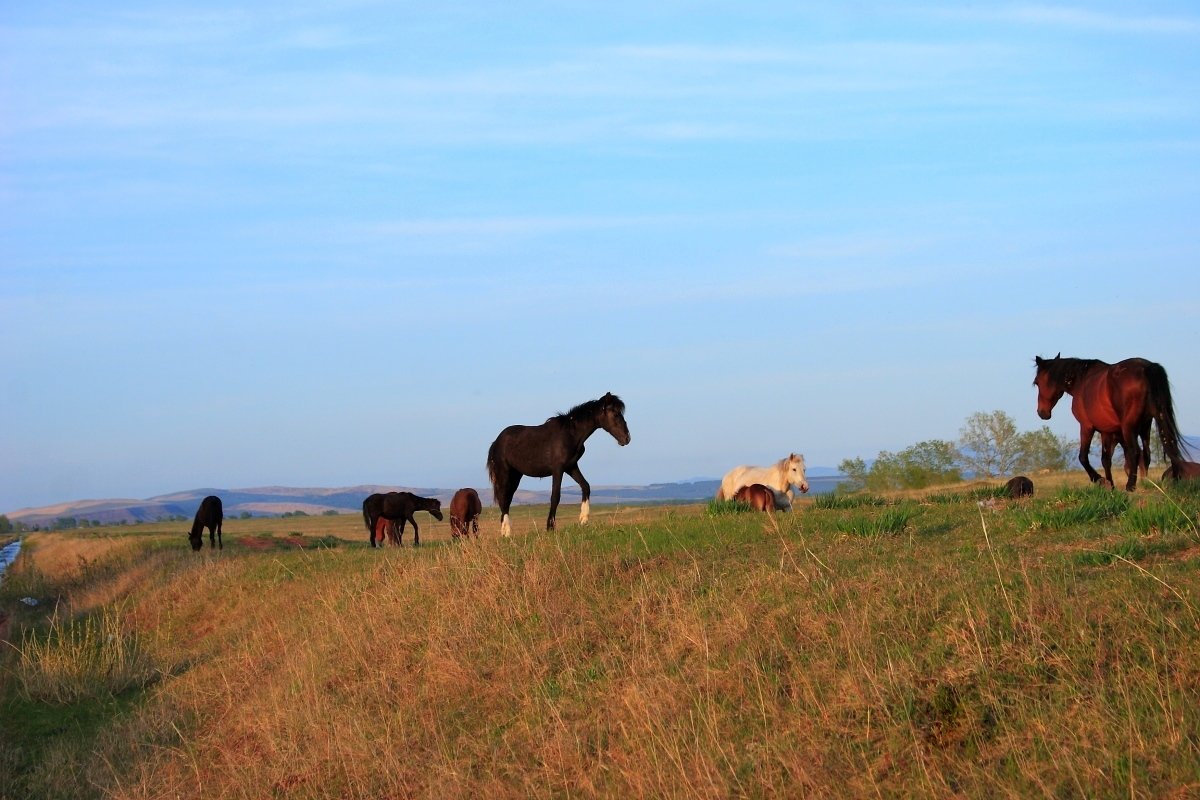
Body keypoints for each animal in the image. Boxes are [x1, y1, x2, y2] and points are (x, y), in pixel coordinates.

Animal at [487, 388, 633, 534]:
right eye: (615, 414)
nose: (627, 438)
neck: (570, 434)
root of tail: (496, 442)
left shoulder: (571, 467)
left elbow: (585, 486)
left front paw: (583, 519)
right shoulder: (558, 469)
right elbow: (555, 496)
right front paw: (550, 527)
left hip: (516, 475)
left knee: (507, 499)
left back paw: (505, 531)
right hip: (505, 473)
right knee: (503, 499)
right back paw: (507, 531)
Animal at [1032, 357, 1190, 494]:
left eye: (1037, 382)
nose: (1042, 412)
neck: (1081, 381)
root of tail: (1147, 367)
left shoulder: (1087, 427)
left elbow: (1083, 457)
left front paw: (1099, 479)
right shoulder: (1107, 432)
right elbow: (1105, 459)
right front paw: (1111, 485)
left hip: (1129, 427)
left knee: (1135, 452)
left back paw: (1130, 485)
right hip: (1150, 422)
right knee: (1160, 447)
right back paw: (1175, 479)